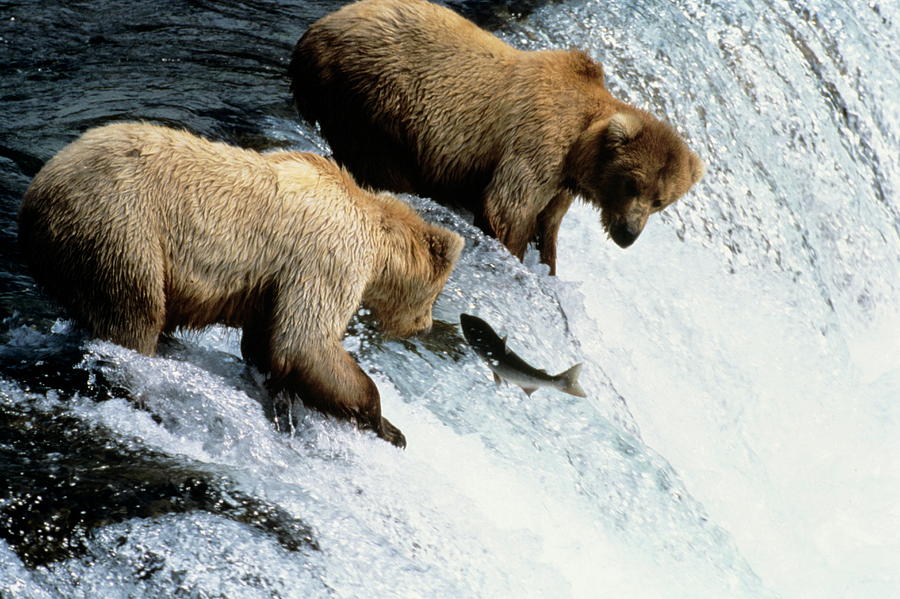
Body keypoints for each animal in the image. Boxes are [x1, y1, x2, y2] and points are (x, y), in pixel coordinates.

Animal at [18, 122, 464, 448]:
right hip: (122, 228)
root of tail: (40, 187)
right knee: (133, 314)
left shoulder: (276, 283)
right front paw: (388, 425)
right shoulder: (329, 256)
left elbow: (269, 339)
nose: (424, 325)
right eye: (437, 295)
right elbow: (306, 340)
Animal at [288, 0, 704, 276]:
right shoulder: (538, 141)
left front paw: (547, 266)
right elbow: (507, 209)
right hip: (374, 96)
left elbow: (547, 225)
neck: (581, 148)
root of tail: (316, 28)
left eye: (660, 201)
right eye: (632, 183)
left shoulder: (561, 185)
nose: (629, 233)